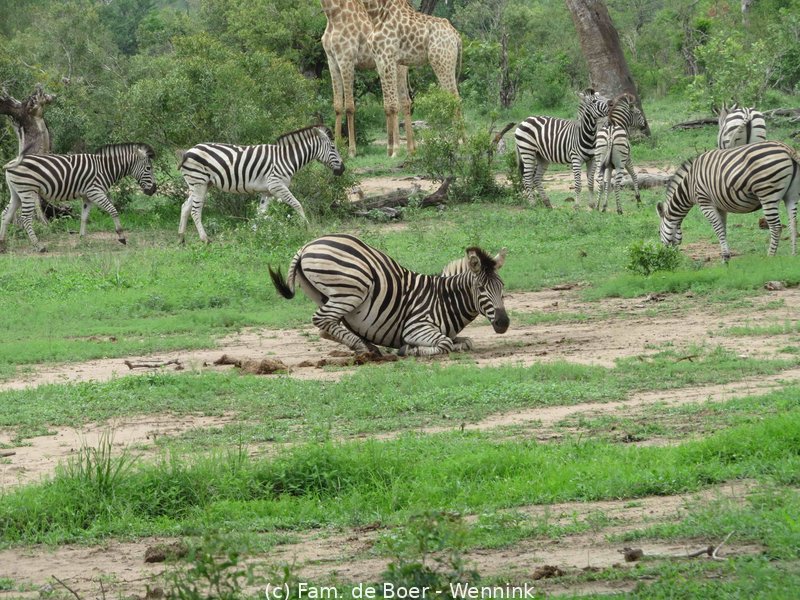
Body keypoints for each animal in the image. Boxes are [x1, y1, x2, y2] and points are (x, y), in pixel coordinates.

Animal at [1, 143, 156, 253]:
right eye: (148, 168)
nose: (154, 189)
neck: (105, 169)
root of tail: (12, 162)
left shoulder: (87, 196)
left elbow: (84, 217)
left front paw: (82, 240)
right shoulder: (95, 192)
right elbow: (113, 210)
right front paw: (121, 237)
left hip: (17, 193)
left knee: (5, 215)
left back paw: (3, 244)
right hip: (27, 191)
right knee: (26, 218)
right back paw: (39, 246)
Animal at [177, 125, 345, 244]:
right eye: (333, 148)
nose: (343, 169)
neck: (287, 158)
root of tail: (188, 151)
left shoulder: (267, 191)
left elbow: (260, 214)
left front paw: (254, 233)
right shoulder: (276, 185)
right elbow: (297, 204)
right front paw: (307, 227)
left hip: (202, 184)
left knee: (185, 207)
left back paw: (181, 238)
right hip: (198, 182)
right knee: (195, 211)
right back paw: (205, 239)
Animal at [268, 234, 509, 357]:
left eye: (502, 287)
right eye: (481, 289)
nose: (504, 323)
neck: (445, 299)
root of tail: (306, 246)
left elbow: (466, 342)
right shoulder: (417, 326)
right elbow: (444, 344)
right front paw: (409, 350)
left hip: (324, 293)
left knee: (329, 323)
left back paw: (366, 346)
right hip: (353, 288)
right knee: (322, 319)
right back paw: (362, 348)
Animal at [657, 141, 799, 262]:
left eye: (658, 232)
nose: (666, 255)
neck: (689, 184)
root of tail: (787, 149)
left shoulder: (705, 203)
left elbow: (718, 229)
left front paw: (725, 257)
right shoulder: (720, 206)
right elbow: (723, 230)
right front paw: (725, 259)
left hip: (767, 194)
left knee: (776, 227)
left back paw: (770, 257)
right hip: (791, 196)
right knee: (793, 224)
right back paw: (793, 256)